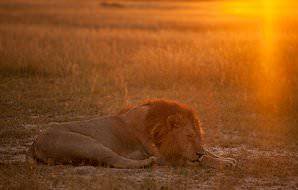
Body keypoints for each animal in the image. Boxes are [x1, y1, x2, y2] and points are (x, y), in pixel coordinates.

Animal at [29, 98, 236, 168]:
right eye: (189, 136)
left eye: (199, 136)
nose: (198, 153)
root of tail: (35, 141)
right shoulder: (164, 154)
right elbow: (201, 159)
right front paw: (219, 162)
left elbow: (209, 152)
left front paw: (225, 158)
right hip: (88, 144)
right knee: (116, 161)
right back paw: (147, 162)